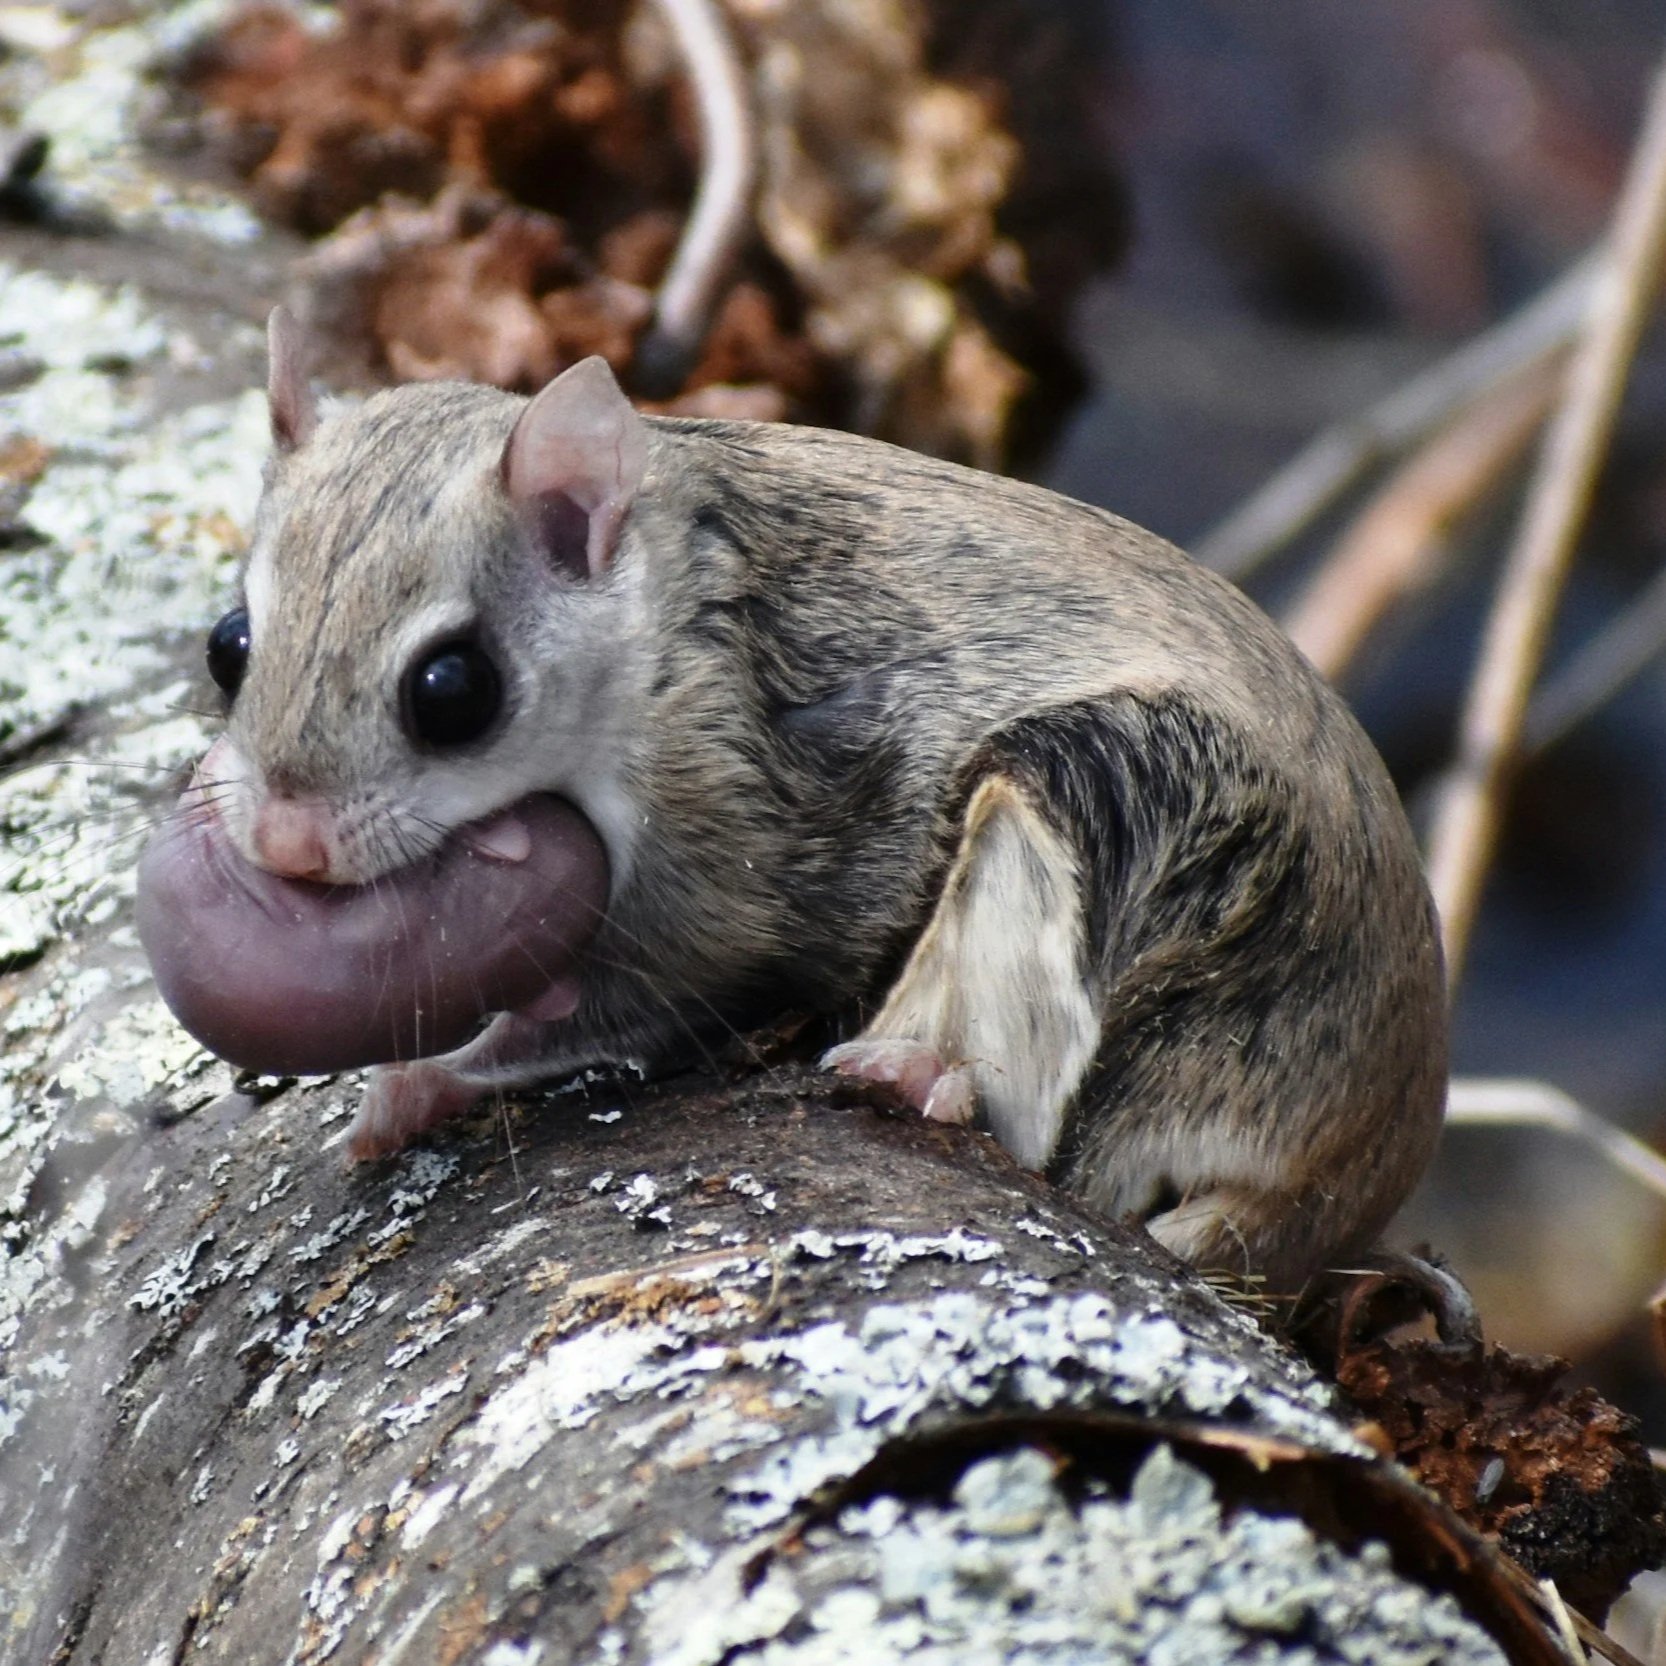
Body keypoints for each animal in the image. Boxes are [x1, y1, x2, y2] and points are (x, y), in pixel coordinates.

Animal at [137, 310, 1447, 1292]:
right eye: (227, 645)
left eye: (452, 690)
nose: (287, 844)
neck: (655, 626)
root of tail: (1339, 1175)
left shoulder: (711, 853)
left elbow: (626, 1014)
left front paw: (419, 1083)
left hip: (1115, 800)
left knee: (1035, 1106)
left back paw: (916, 1073)